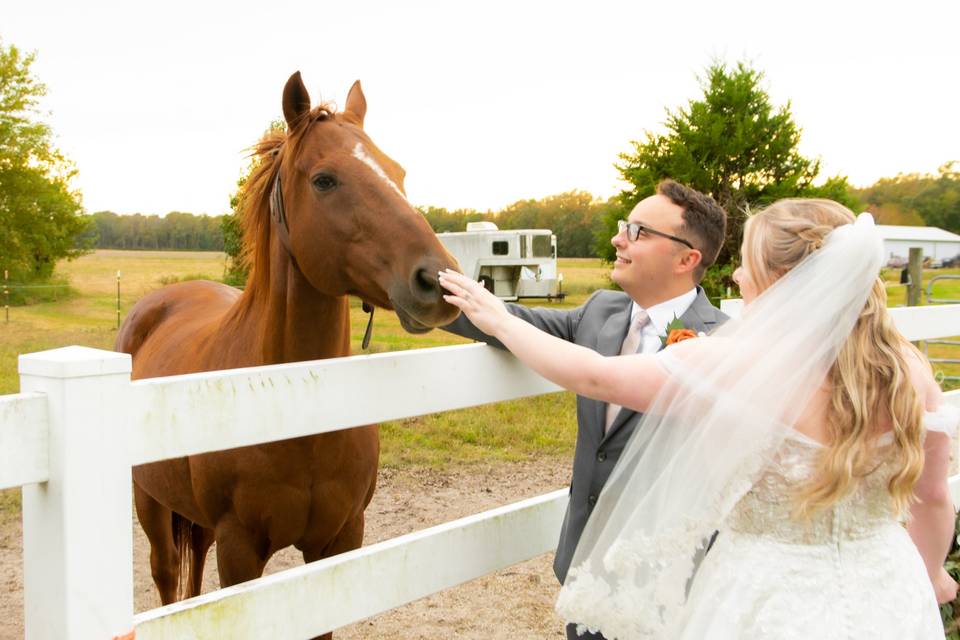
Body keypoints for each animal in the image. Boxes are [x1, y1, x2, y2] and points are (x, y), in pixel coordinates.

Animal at [118, 71, 464, 624]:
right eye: (324, 179)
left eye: (398, 172)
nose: (437, 280)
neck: (294, 408)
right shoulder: (240, 552)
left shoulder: (339, 540)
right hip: (147, 500)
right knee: (168, 576)